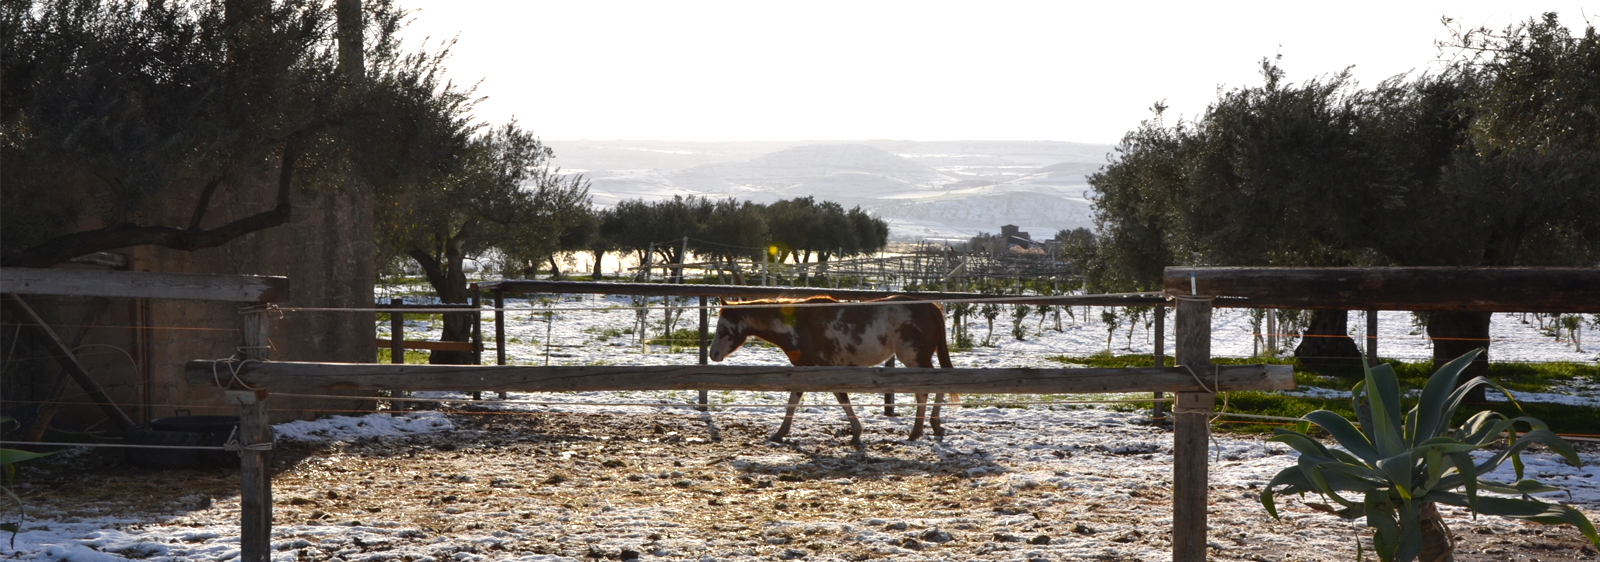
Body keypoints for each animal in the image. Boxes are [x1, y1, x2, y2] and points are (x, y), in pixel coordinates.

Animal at [710, 294, 953, 448]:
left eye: (722, 327)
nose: (713, 354)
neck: (799, 324)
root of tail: (931, 307)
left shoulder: (826, 367)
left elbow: (841, 397)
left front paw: (856, 433)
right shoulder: (805, 369)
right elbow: (794, 398)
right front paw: (780, 433)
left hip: (914, 358)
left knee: (929, 388)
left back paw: (919, 431)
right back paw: (933, 427)